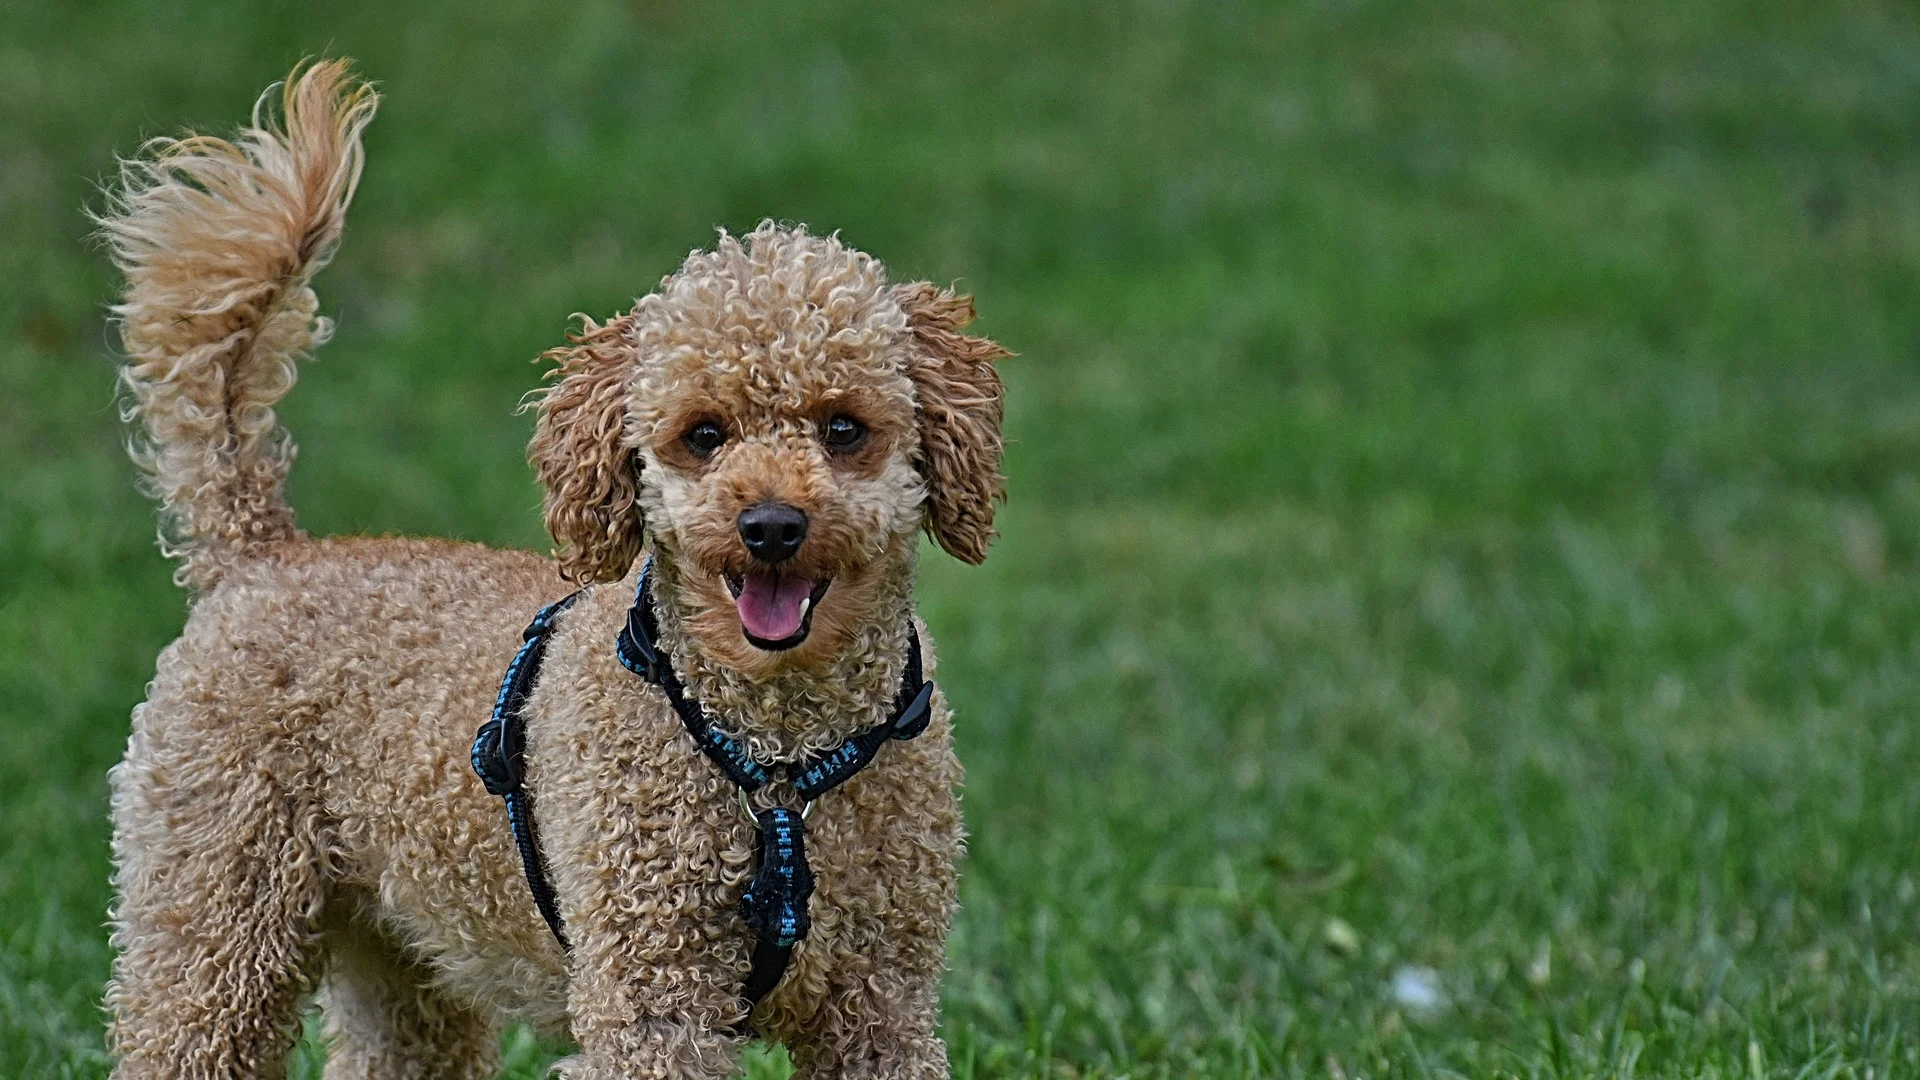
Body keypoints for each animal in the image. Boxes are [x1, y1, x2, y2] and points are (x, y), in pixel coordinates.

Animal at [95, 61, 1006, 1076]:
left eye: (844, 428)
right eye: (704, 435)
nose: (771, 525)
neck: (778, 762)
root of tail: (265, 551)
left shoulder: (881, 1004)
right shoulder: (653, 999)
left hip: (400, 950)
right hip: (215, 915)